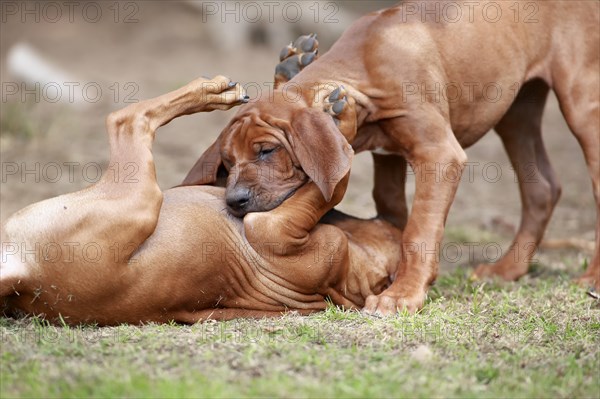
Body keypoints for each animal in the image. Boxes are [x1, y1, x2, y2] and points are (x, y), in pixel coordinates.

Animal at [1, 76, 404, 326]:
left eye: (268, 152)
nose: (235, 201)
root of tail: (23, 277)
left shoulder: (275, 228)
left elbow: (333, 183)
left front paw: (342, 120)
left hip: (138, 196)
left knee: (126, 118)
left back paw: (208, 93)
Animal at [183, 3, 600, 316]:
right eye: (227, 163)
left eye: (267, 151)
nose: (234, 201)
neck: (365, 70)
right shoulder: (389, 156)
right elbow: (392, 209)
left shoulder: (439, 154)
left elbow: (418, 230)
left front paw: (403, 294)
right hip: (516, 110)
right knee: (543, 187)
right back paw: (507, 269)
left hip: (581, 104)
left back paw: (592, 279)